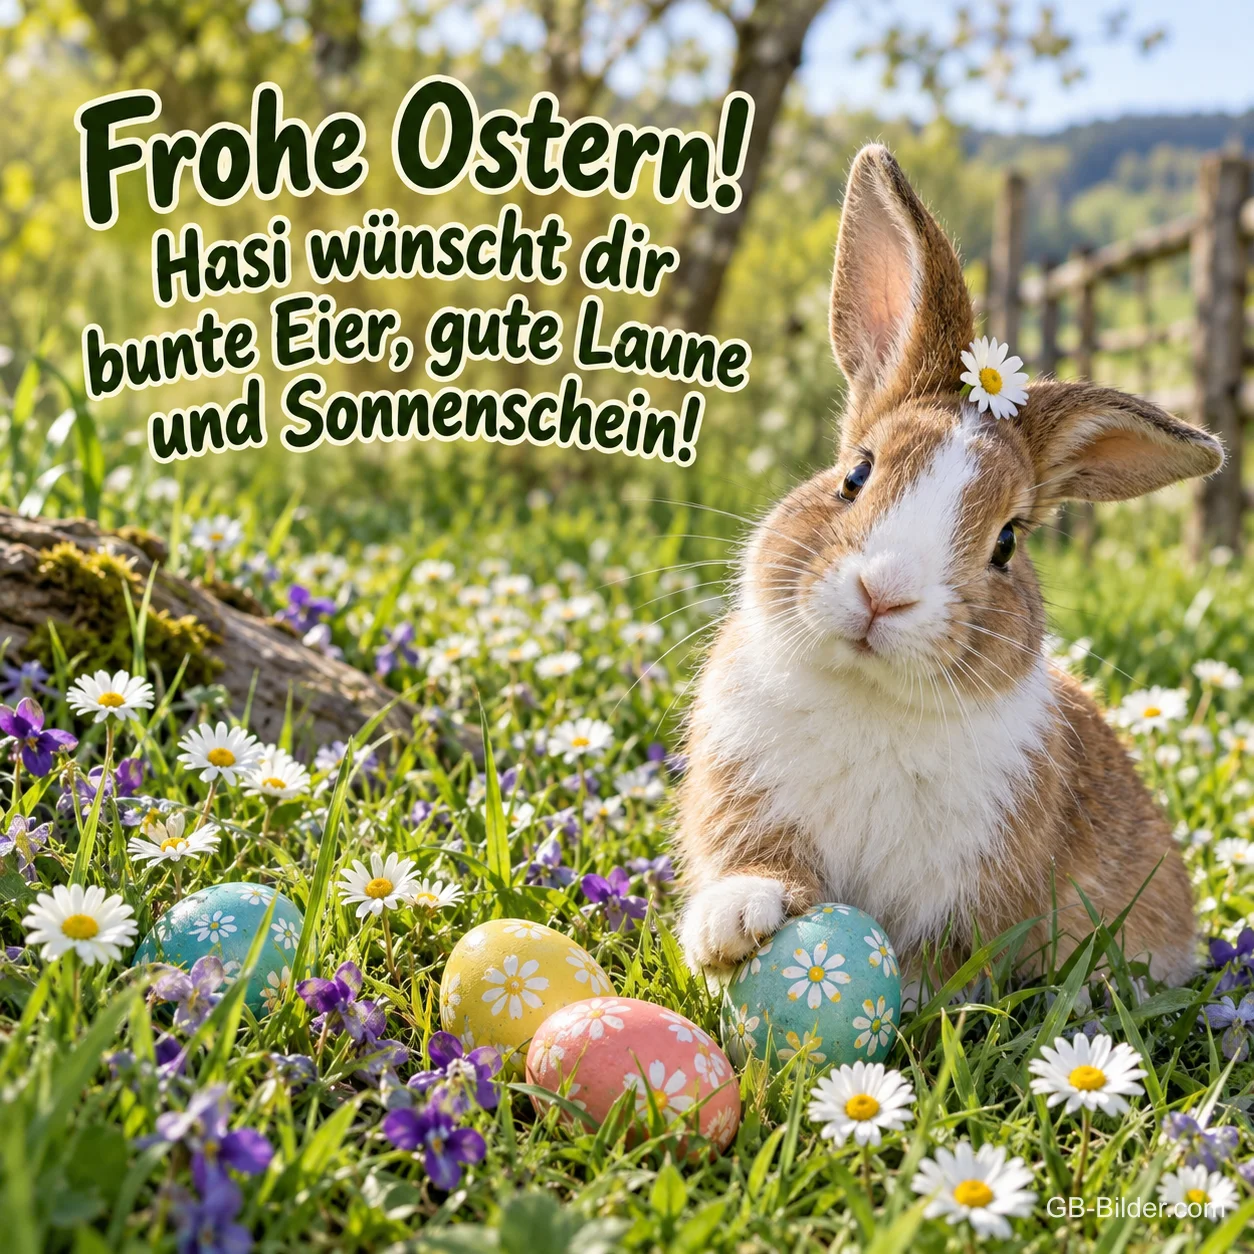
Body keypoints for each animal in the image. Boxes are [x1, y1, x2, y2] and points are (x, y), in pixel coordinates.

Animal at [674, 143, 1223, 992]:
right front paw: (729, 926)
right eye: (857, 474)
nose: (885, 592)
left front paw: (905, 995)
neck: (871, 694)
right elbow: (760, 866)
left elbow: (941, 962)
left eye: (1007, 543)